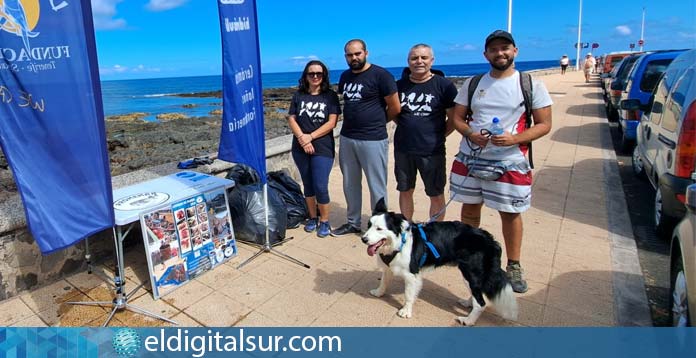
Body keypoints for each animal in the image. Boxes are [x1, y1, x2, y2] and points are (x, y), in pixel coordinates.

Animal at [358, 199, 516, 328]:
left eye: (379, 229)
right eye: (369, 225)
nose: (363, 239)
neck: (398, 242)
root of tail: (490, 239)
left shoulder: (412, 275)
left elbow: (409, 295)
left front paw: (406, 311)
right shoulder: (389, 267)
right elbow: (384, 281)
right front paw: (378, 293)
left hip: (470, 273)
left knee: (481, 303)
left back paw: (468, 320)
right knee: (477, 294)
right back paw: (468, 303)